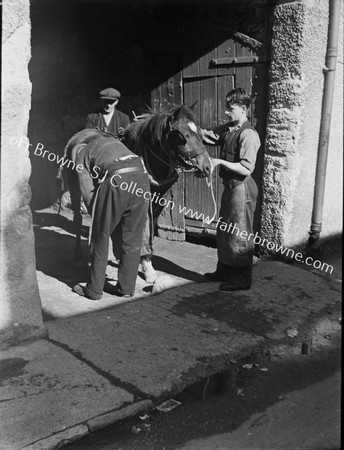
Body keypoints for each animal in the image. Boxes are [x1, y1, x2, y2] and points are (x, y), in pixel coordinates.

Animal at [57, 104, 211, 282]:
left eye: (199, 132)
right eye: (184, 135)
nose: (207, 166)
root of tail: (78, 136)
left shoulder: (157, 202)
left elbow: (149, 231)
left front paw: (145, 263)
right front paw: (142, 263)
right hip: (74, 186)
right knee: (77, 219)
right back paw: (78, 257)